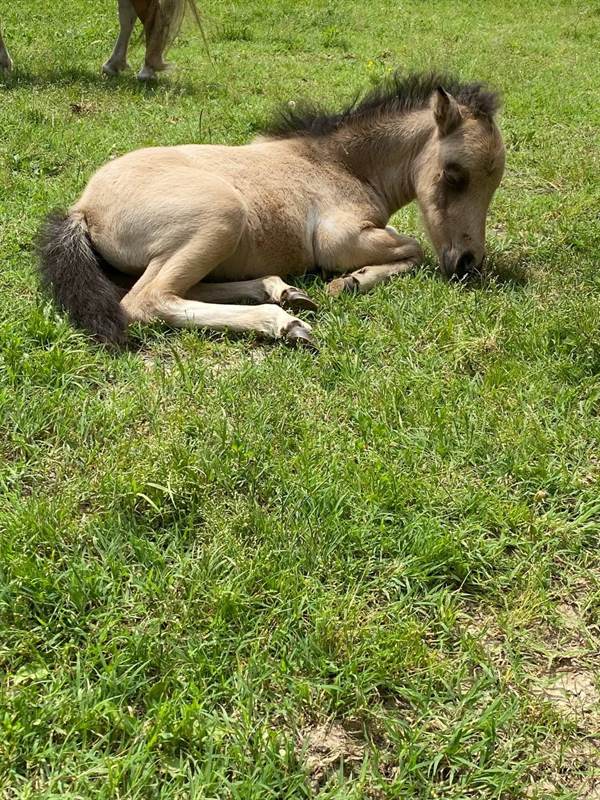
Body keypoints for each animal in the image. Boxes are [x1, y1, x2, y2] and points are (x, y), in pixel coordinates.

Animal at [39, 72, 506, 350]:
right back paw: (284, 322)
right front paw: (349, 282)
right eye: (454, 175)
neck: (341, 164)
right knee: (146, 300)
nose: (468, 263)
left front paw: (347, 283)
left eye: (495, 183)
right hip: (221, 216)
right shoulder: (339, 241)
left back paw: (281, 290)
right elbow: (414, 248)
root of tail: (83, 207)